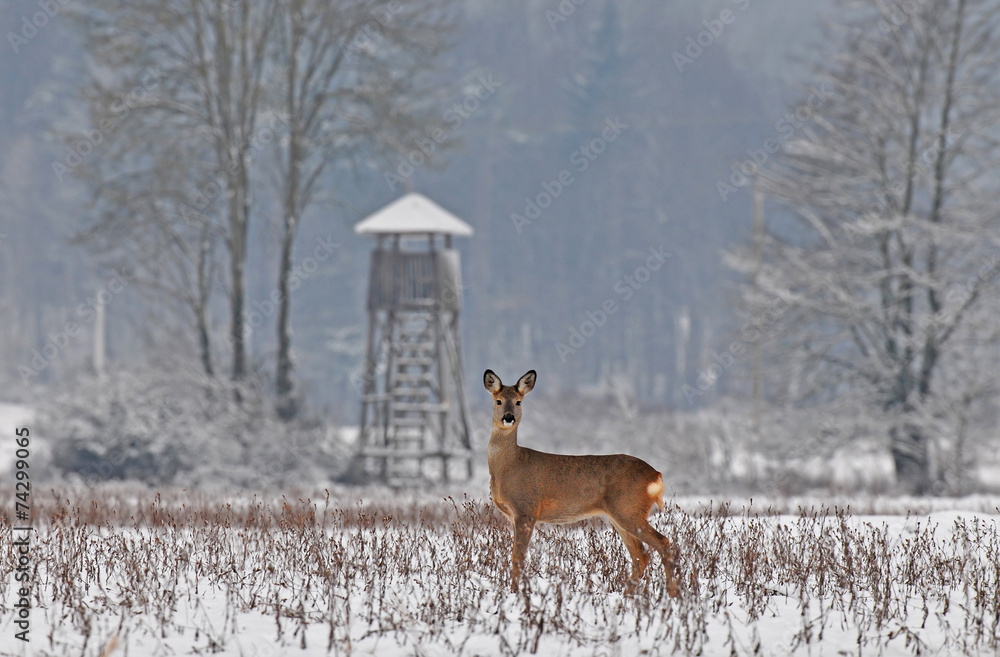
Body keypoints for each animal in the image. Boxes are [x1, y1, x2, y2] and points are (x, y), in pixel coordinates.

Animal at [483, 369, 679, 597]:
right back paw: (627, 595)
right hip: (621, 515)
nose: (509, 417)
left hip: (629, 509)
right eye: (498, 401)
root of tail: (657, 475)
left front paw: (515, 593)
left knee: (662, 542)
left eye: (518, 401)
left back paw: (672, 594)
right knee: (641, 555)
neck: (508, 466)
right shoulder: (514, 515)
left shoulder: (526, 510)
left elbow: (518, 557)